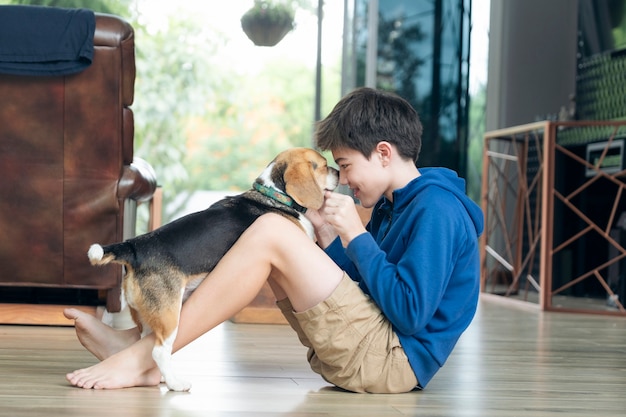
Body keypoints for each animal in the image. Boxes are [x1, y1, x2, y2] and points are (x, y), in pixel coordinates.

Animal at [86, 147, 336, 390]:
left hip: (148, 315)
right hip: (169, 315)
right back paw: (176, 384)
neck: (273, 195)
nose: (338, 172)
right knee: (158, 351)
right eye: (323, 165)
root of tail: (135, 246)